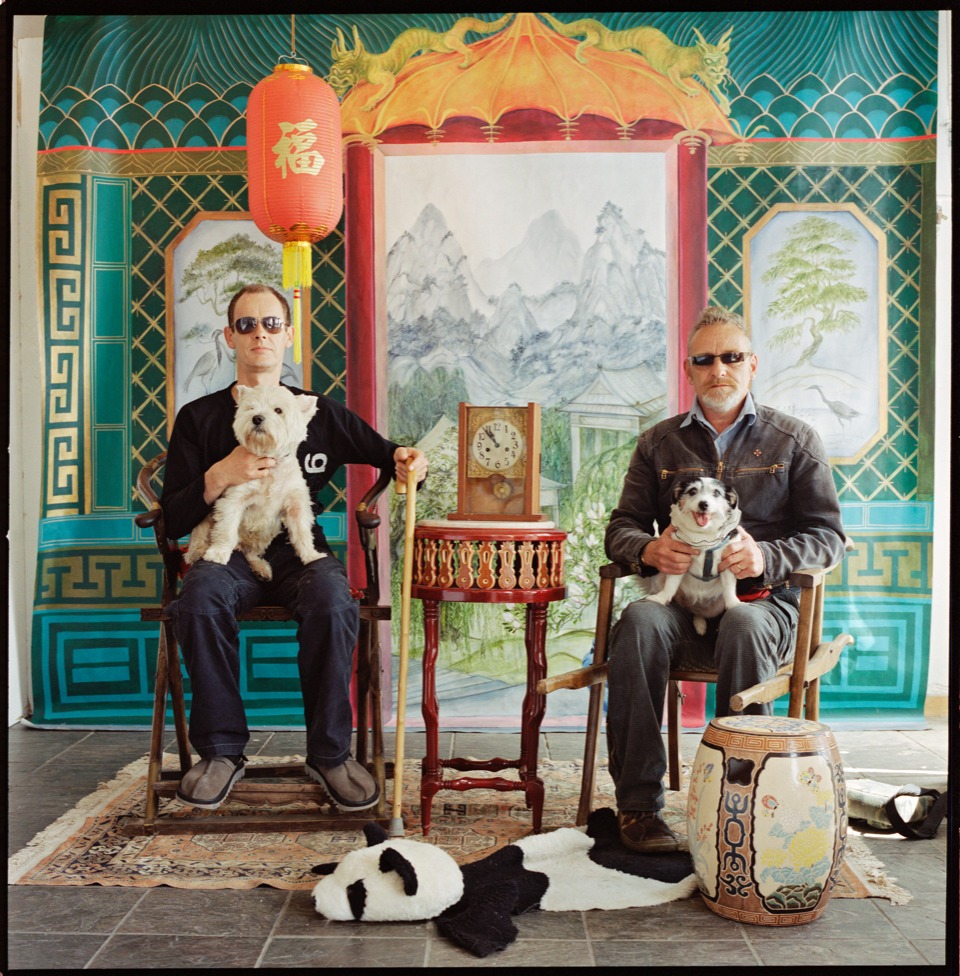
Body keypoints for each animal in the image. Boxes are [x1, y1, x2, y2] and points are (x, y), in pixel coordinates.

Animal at [184, 384, 326, 580]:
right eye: (251, 408)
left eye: (278, 410)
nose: (257, 418)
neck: (270, 464)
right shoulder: (234, 499)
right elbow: (226, 530)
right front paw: (218, 553)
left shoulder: (295, 504)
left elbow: (302, 532)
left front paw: (311, 555)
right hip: (205, 524)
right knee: (197, 544)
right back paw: (201, 551)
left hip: (261, 537)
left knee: (250, 553)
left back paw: (261, 568)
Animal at [644, 476, 744, 636]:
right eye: (692, 491)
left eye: (716, 493)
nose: (703, 504)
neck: (703, 535)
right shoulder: (678, 560)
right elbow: (670, 585)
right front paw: (661, 598)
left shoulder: (727, 562)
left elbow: (729, 588)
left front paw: (734, 604)